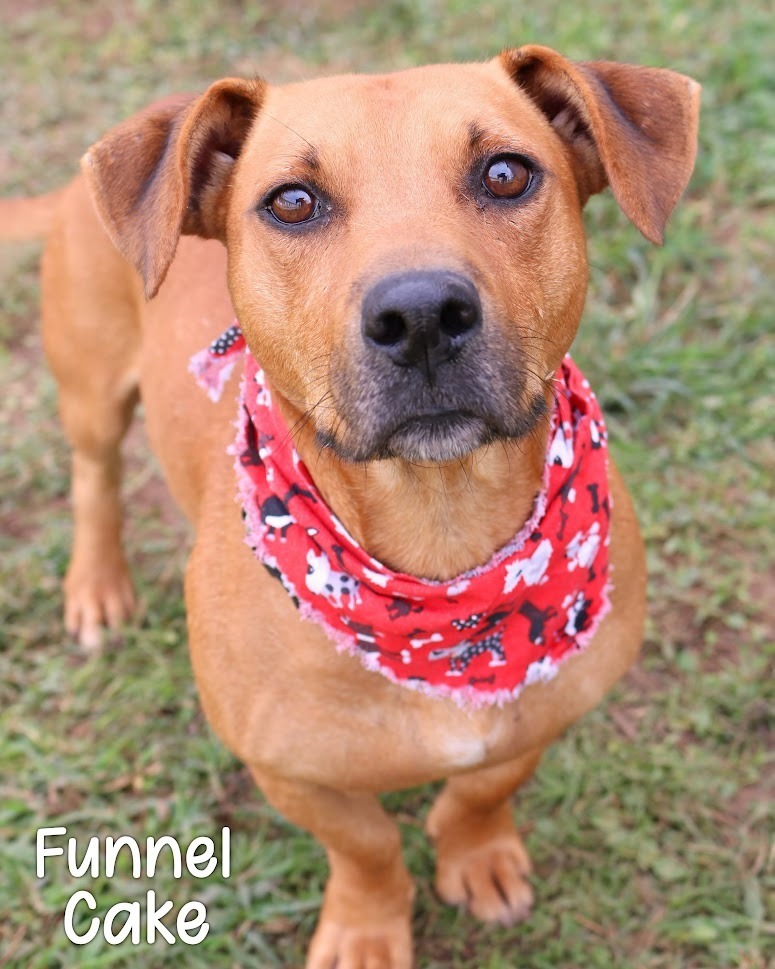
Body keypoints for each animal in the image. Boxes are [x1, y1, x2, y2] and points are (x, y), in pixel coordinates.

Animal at [1, 45, 704, 968]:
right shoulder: (288, 768)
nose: (421, 314)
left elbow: (487, 781)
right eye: (292, 202)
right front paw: (367, 927)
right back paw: (97, 583)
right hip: (88, 386)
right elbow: (364, 843)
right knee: (94, 477)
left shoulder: (552, 705)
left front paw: (475, 849)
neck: (439, 547)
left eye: (506, 173)